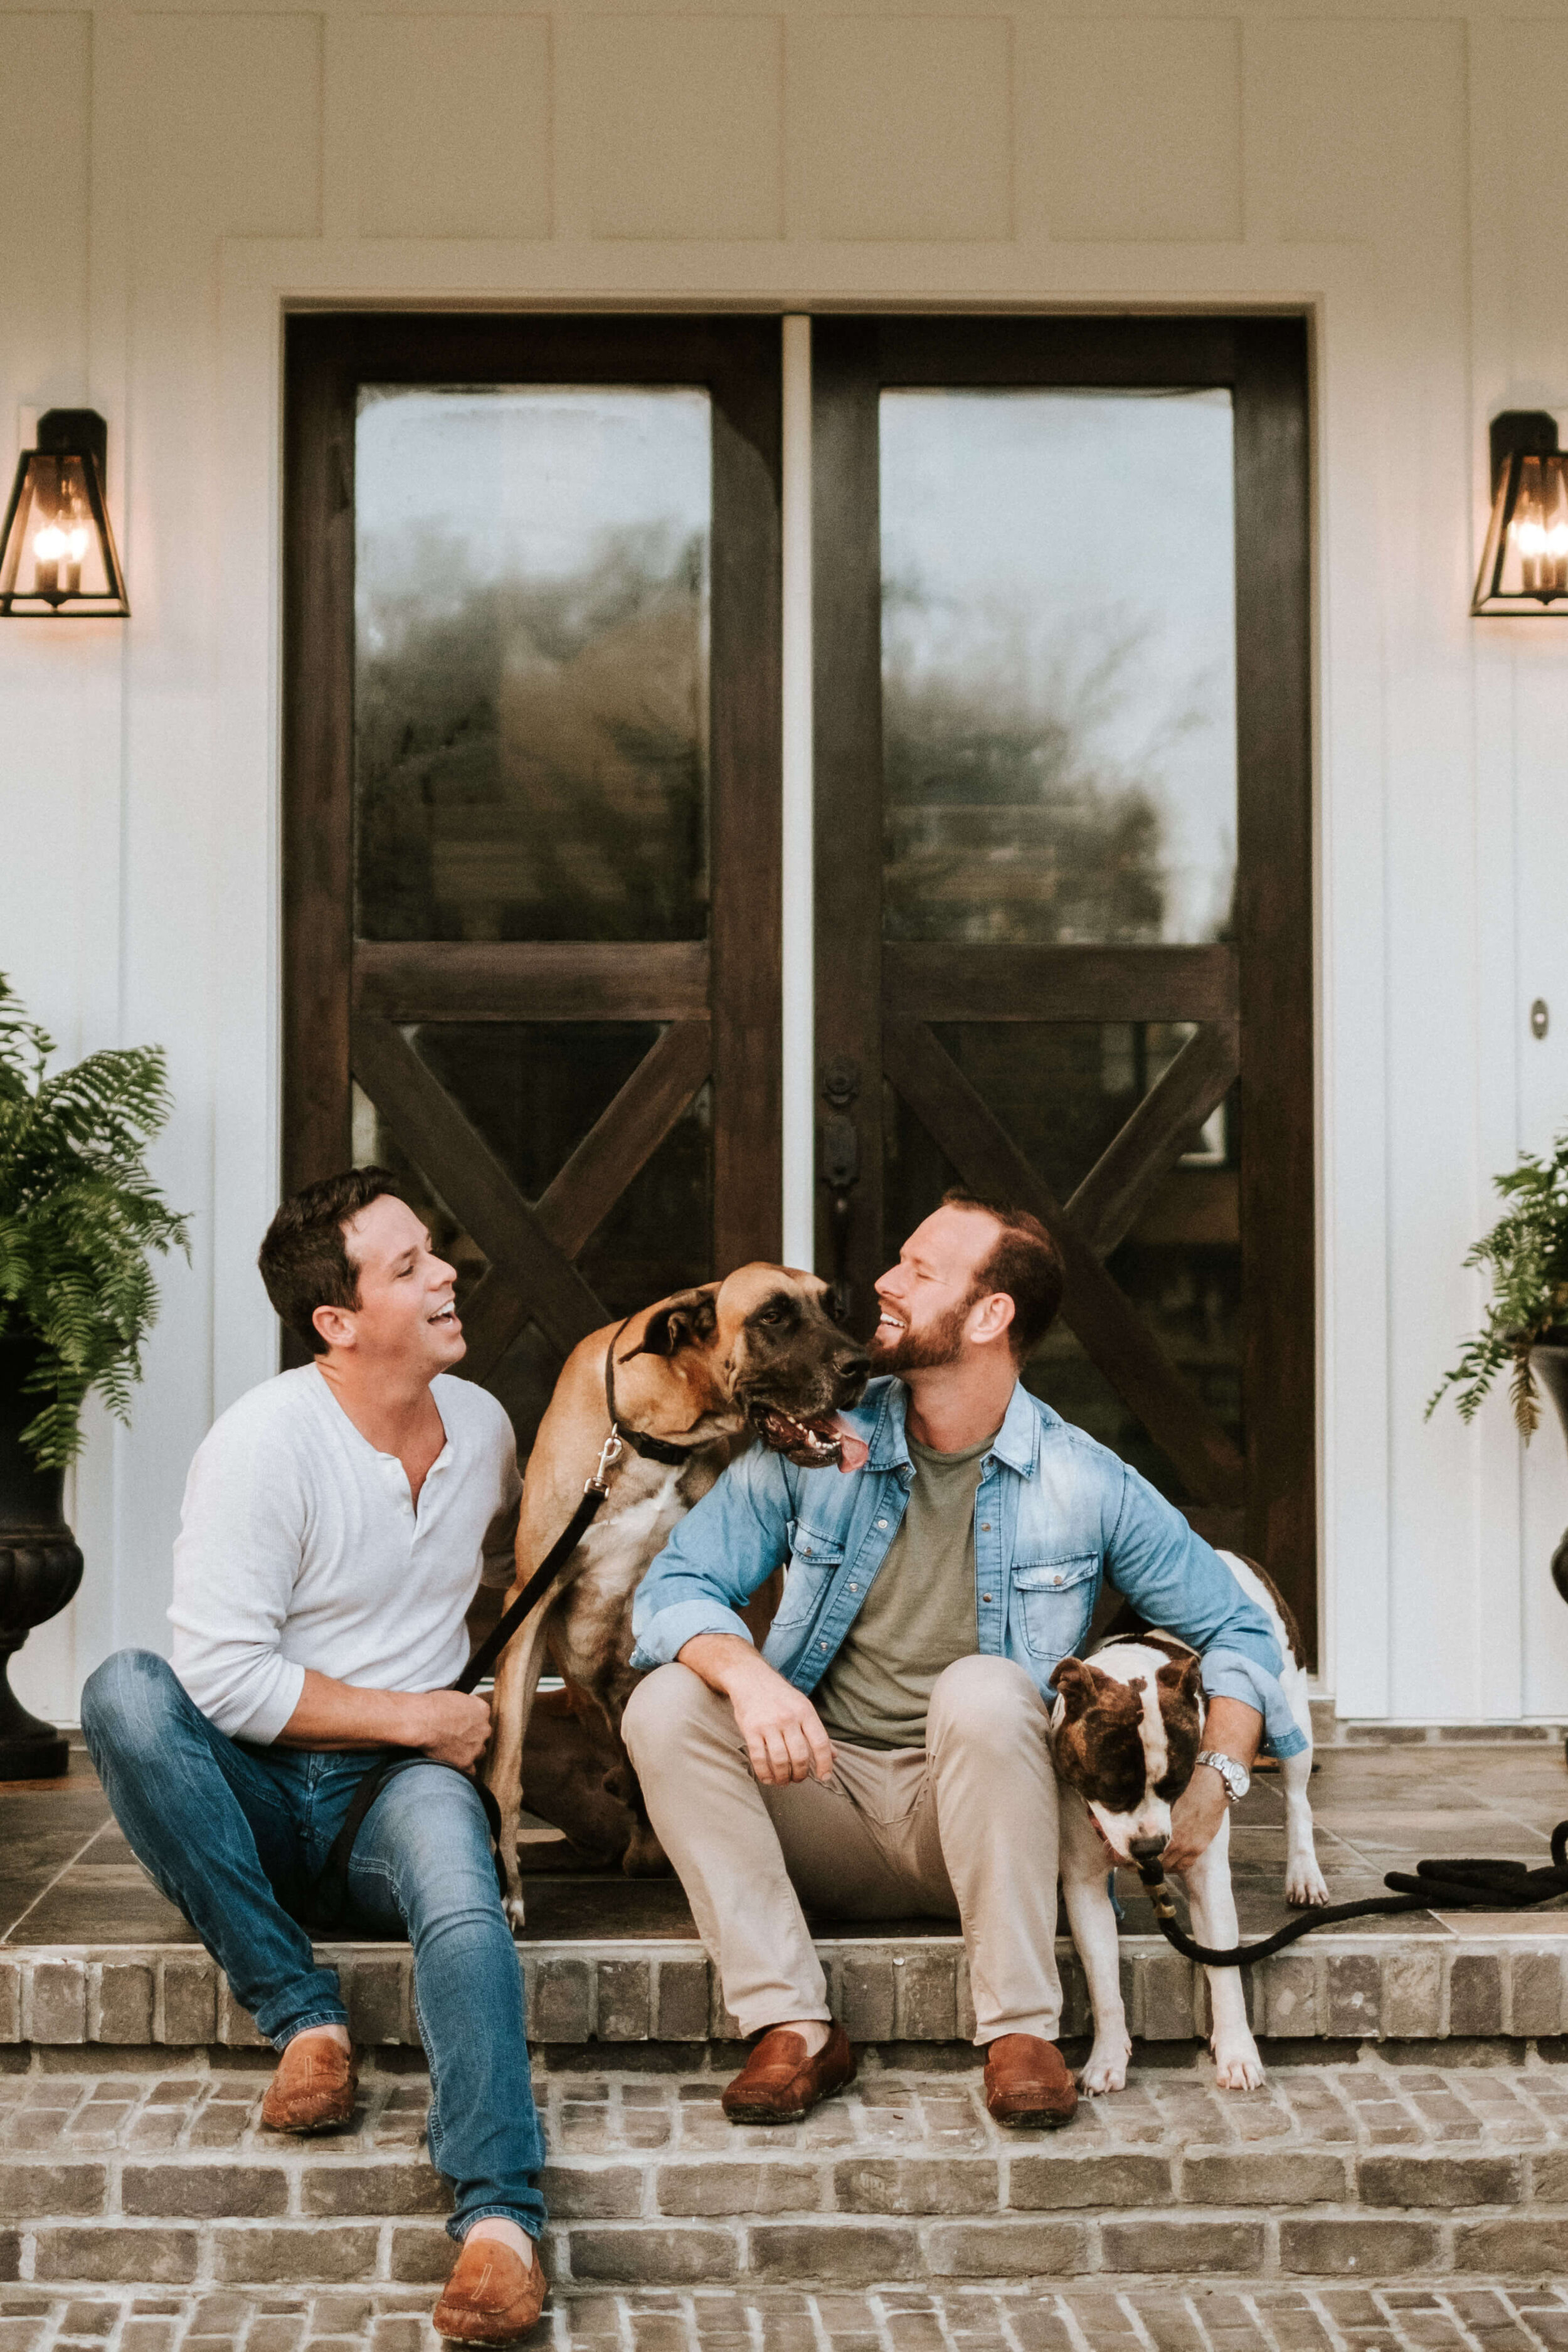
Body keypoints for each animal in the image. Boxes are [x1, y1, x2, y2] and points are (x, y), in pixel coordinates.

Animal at [486, 1279, 869, 1919]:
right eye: (773, 1316)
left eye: (834, 1308)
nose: (862, 1364)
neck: (656, 1436)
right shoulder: (529, 1602)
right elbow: (505, 1769)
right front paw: (507, 1886)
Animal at [1053, 1562, 1325, 2098]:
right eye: (1108, 1788)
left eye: (1177, 1783)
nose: (1149, 1847)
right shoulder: (1084, 1885)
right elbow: (1103, 1981)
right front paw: (1107, 2059)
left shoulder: (1207, 1876)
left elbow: (1224, 1968)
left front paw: (1239, 2053)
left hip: (1292, 1712)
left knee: (1298, 1801)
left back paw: (1304, 1875)